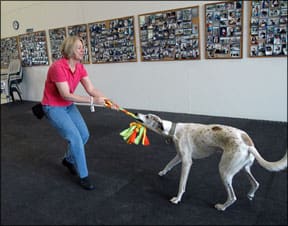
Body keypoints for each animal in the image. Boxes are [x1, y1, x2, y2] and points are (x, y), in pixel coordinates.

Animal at [135, 114, 288, 211]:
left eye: (148, 116)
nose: (136, 112)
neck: (174, 130)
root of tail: (249, 144)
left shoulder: (187, 162)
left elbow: (181, 185)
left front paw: (177, 199)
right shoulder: (179, 156)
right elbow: (169, 164)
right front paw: (162, 172)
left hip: (224, 172)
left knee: (233, 197)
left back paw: (222, 207)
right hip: (244, 169)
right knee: (255, 183)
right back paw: (250, 194)